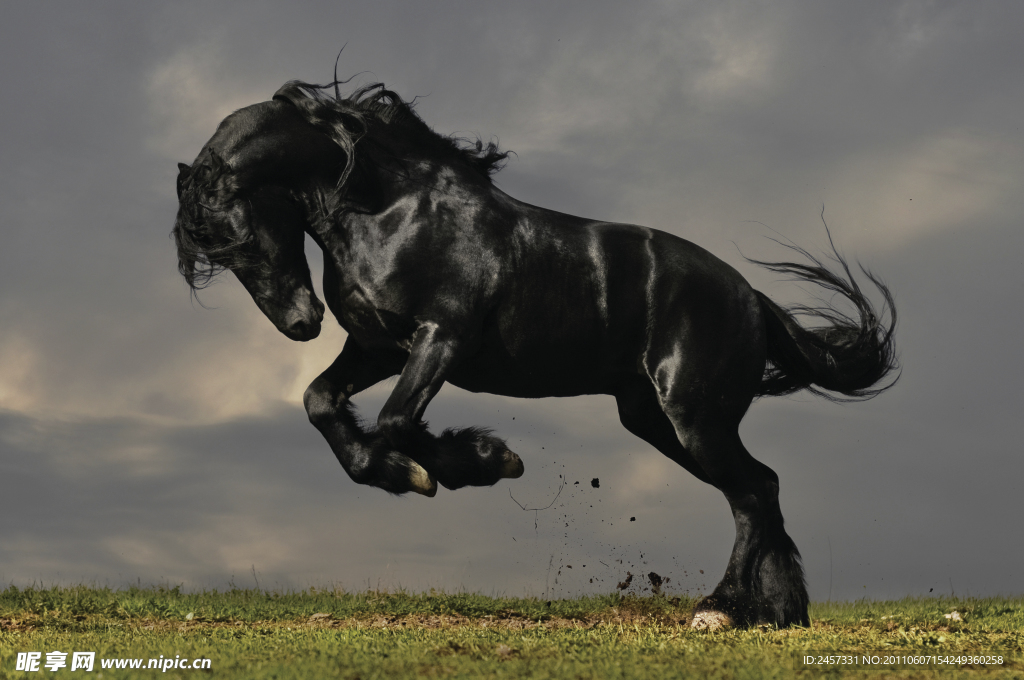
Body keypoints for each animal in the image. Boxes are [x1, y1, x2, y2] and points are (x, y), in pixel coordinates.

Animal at [174, 78, 897, 626]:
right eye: (214, 250)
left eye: (239, 232)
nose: (300, 323)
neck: (391, 210)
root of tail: (751, 298)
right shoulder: (378, 345)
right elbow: (321, 401)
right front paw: (401, 472)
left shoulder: (441, 338)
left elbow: (397, 420)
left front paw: (478, 461)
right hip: (655, 419)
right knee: (761, 488)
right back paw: (775, 613)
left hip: (695, 417)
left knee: (752, 493)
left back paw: (721, 610)